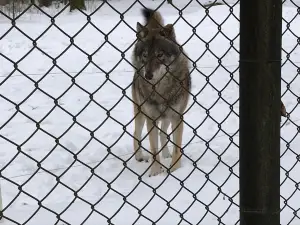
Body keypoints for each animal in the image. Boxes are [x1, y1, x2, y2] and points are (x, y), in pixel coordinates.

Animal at [131, 7, 191, 177]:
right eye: (145, 55)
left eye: (159, 55)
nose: (148, 75)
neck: (160, 90)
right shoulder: (151, 118)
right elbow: (153, 149)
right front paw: (155, 171)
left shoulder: (177, 117)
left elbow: (177, 147)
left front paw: (175, 169)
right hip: (140, 112)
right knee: (136, 133)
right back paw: (139, 156)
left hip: (166, 117)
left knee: (163, 133)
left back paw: (166, 154)